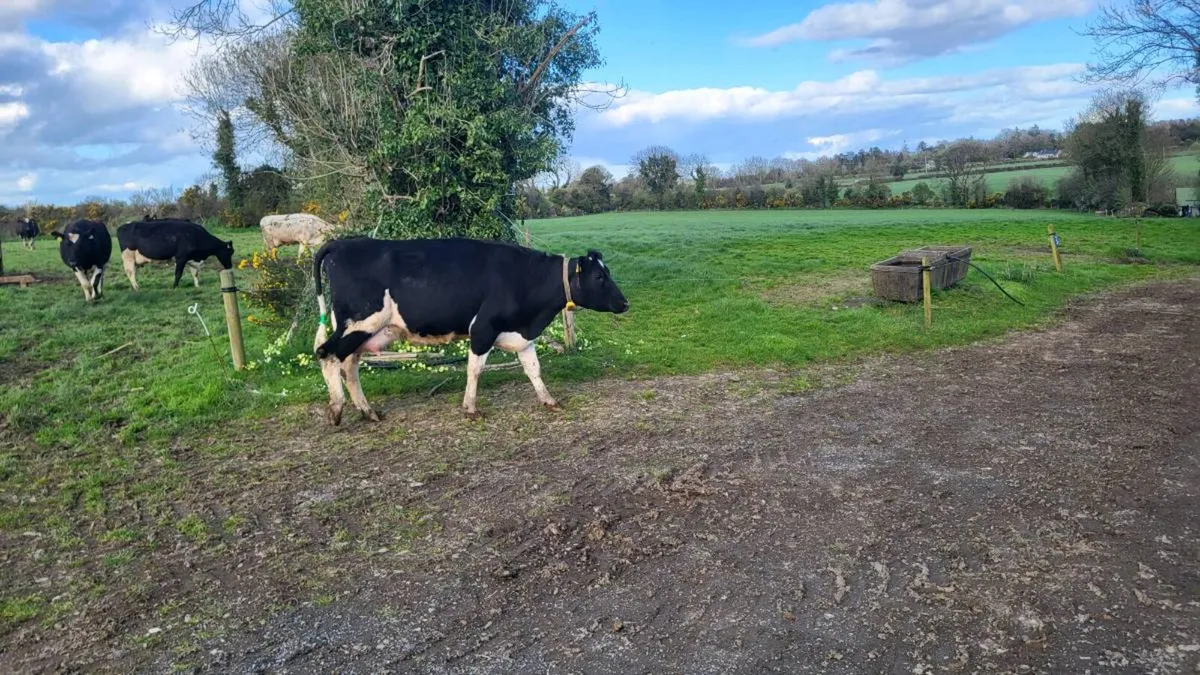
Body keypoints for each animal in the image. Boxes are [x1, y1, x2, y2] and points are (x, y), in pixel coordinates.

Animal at [312, 237, 629, 425]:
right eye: (599, 276)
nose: (625, 303)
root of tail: (343, 243)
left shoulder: (522, 335)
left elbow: (533, 369)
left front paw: (549, 400)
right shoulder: (483, 329)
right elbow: (475, 369)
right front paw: (470, 408)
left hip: (363, 331)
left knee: (348, 364)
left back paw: (368, 411)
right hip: (359, 324)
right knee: (327, 354)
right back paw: (337, 409)